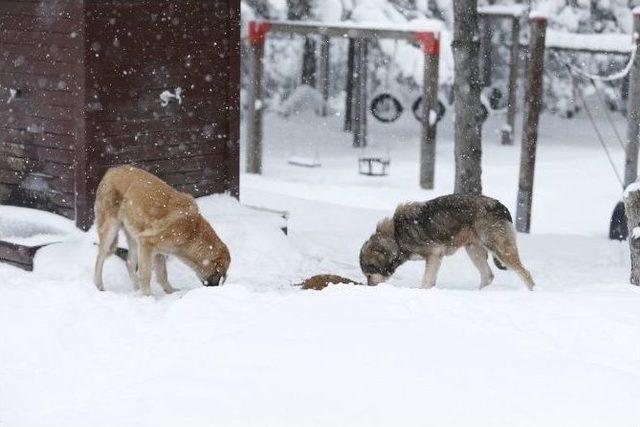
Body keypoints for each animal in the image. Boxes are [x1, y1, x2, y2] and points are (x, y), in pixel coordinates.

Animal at [94, 166, 231, 296]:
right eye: (220, 273)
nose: (215, 288)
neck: (192, 233)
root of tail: (111, 170)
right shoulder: (147, 243)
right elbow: (146, 275)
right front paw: (148, 297)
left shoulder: (157, 251)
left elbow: (162, 275)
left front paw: (171, 293)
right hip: (111, 229)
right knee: (100, 258)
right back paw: (99, 286)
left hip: (133, 235)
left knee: (129, 263)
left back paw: (136, 289)